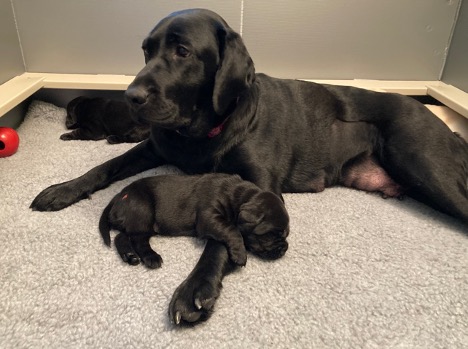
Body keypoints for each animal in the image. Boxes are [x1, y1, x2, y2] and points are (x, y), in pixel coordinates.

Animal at [99, 173, 288, 270]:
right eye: (272, 234)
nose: (285, 248)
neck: (239, 196)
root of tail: (118, 196)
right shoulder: (208, 217)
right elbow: (232, 230)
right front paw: (240, 254)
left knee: (122, 236)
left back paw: (129, 256)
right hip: (143, 211)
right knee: (138, 240)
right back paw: (151, 258)